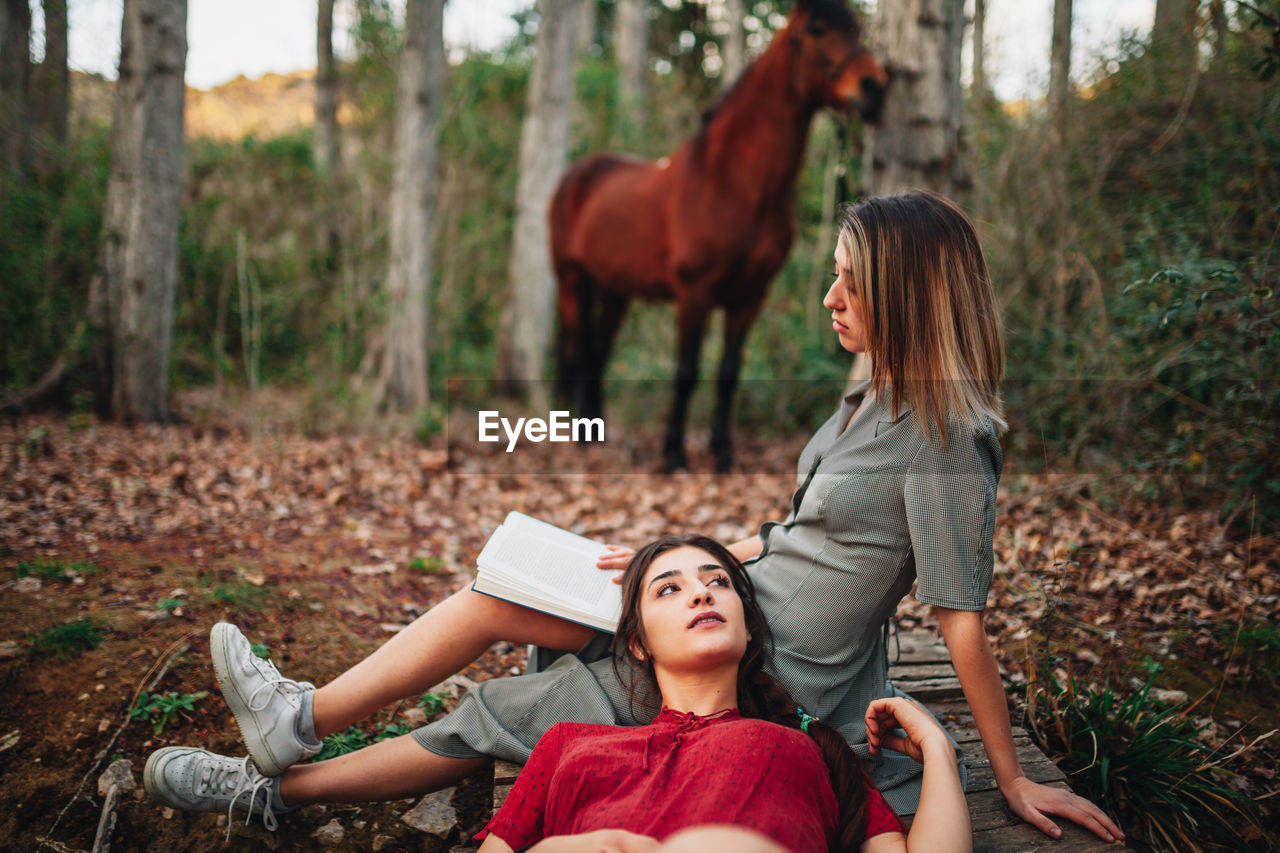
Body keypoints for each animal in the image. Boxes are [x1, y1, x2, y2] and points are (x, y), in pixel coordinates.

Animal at [550, 0, 890, 471]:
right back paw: (580, 438)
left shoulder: (749, 296)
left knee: (597, 351)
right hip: (572, 280)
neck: (735, 184)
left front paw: (723, 452)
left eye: (856, 28)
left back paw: (594, 432)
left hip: (617, 290)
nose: (874, 87)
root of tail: (579, 174)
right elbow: (686, 372)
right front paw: (674, 453)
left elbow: (728, 374)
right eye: (817, 29)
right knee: (578, 350)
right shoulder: (695, 292)